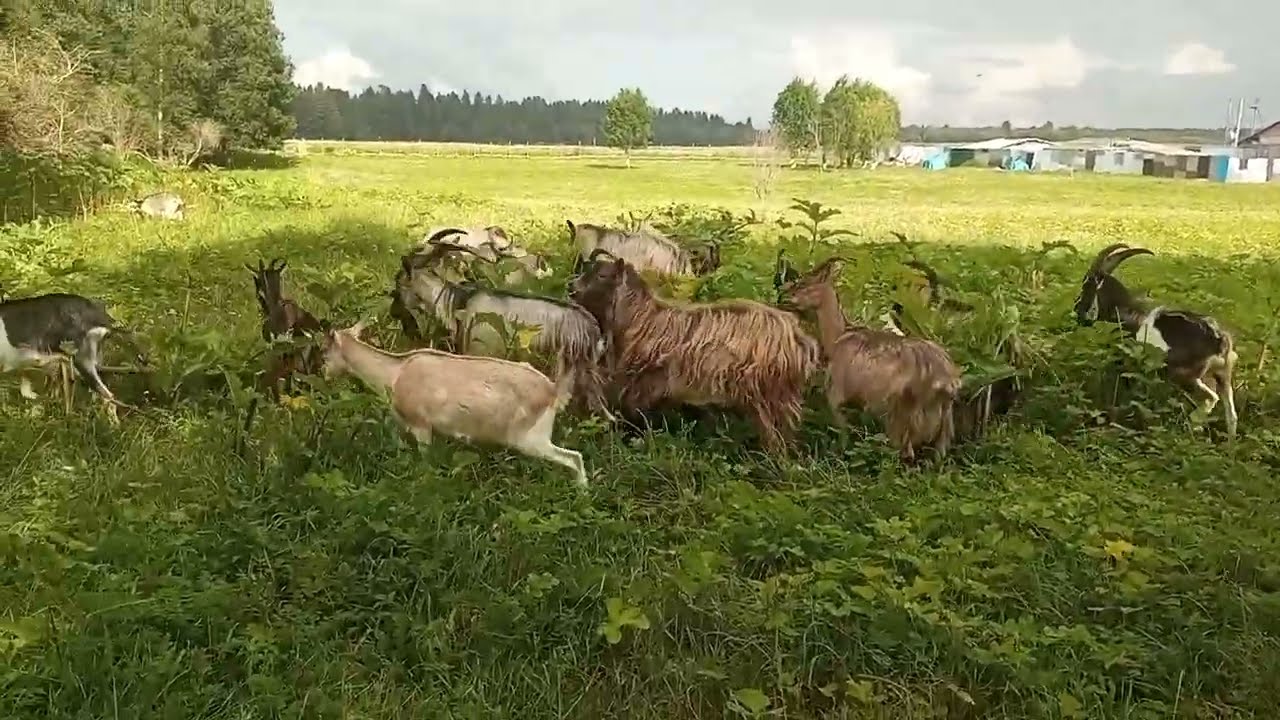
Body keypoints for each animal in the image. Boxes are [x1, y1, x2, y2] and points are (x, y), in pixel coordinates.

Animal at [320, 320, 589, 488]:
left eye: (324, 351)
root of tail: (553, 390)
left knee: (573, 457)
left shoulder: (421, 425)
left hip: (529, 438)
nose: (324, 375)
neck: (394, 374)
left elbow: (425, 460)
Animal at [570, 253, 819, 452]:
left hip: (769, 393)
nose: (571, 288)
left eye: (603, 275)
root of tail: (799, 338)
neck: (641, 317)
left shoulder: (643, 384)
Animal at [778, 257, 961, 462]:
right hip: (944, 424)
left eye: (803, 283)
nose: (784, 297)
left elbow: (843, 436)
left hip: (902, 416)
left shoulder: (837, 396)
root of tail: (947, 382)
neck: (839, 337)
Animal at [1073, 242, 1238, 438]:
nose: (1077, 309)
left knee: (1210, 398)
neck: (1127, 313)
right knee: (1231, 415)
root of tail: (1219, 339)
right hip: (1222, 374)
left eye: (1086, 285)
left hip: (1184, 375)